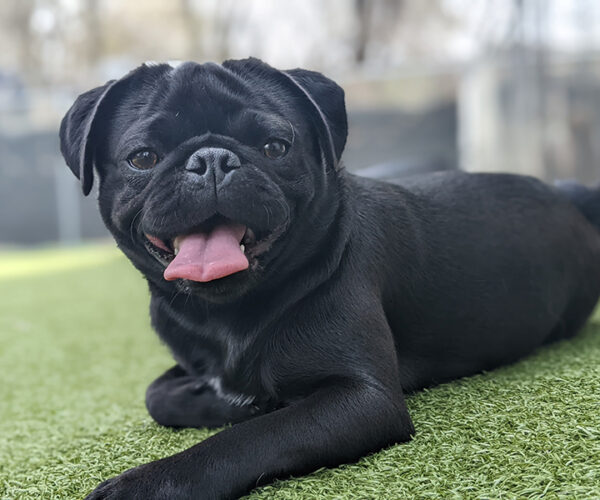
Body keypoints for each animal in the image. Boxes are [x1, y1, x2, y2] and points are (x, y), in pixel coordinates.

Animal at [59, 58, 600, 499]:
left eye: (275, 147)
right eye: (143, 157)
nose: (212, 159)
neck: (227, 315)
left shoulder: (363, 399)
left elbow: (244, 441)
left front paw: (145, 485)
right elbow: (157, 397)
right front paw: (231, 401)